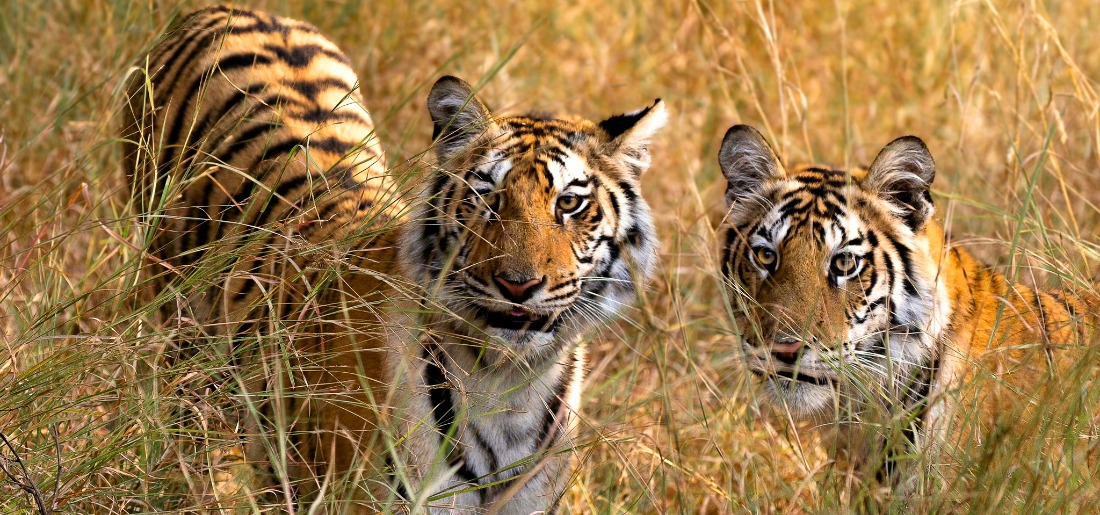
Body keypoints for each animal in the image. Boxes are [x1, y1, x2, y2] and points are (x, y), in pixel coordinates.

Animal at [119, 5, 667, 512]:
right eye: (487, 197)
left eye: (569, 204)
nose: (518, 284)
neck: (511, 387)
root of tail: (232, 9)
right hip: (179, 334)